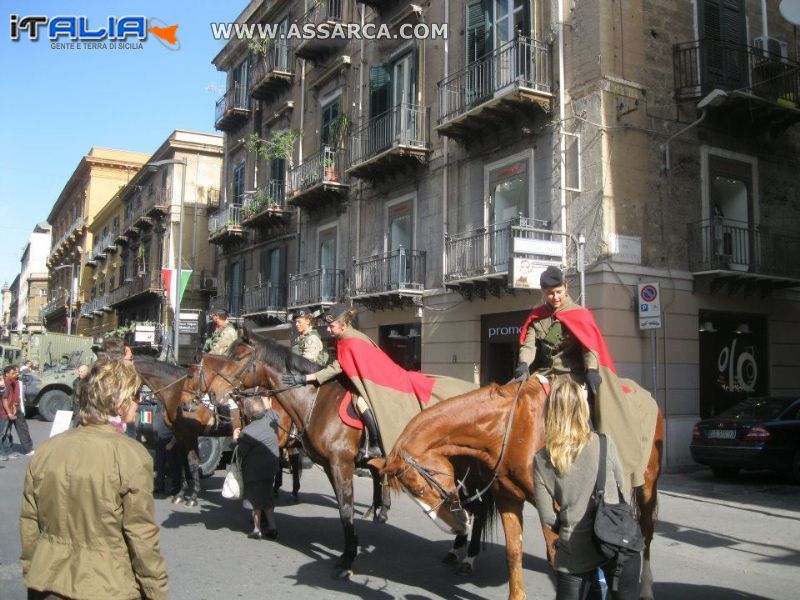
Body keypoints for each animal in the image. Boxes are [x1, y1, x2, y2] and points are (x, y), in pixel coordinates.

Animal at [372, 380, 664, 600]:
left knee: (646, 532)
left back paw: (646, 587)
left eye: (420, 486)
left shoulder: (553, 505)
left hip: (647, 483)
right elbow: (513, 554)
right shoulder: (508, 499)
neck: (509, 430)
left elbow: (556, 557)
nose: (455, 527)